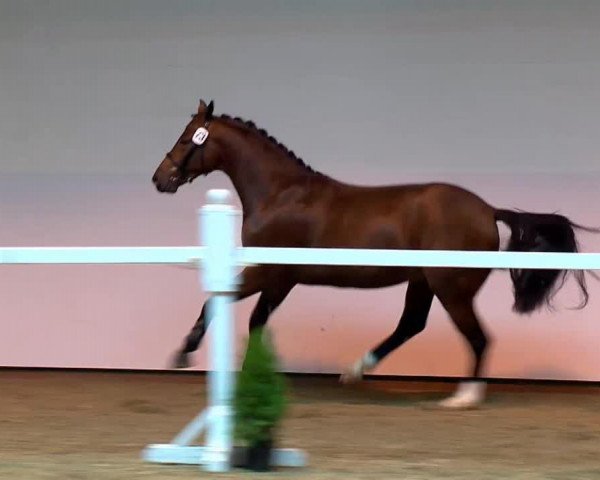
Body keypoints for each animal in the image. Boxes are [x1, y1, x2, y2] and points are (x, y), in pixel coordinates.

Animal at [151, 100, 596, 408]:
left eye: (186, 137)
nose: (160, 179)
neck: (282, 195)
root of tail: (487, 210)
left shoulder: (273, 273)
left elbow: (229, 307)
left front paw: (192, 357)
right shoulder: (277, 276)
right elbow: (246, 316)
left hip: (451, 288)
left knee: (477, 337)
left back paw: (463, 398)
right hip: (423, 282)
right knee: (411, 325)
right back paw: (355, 371)